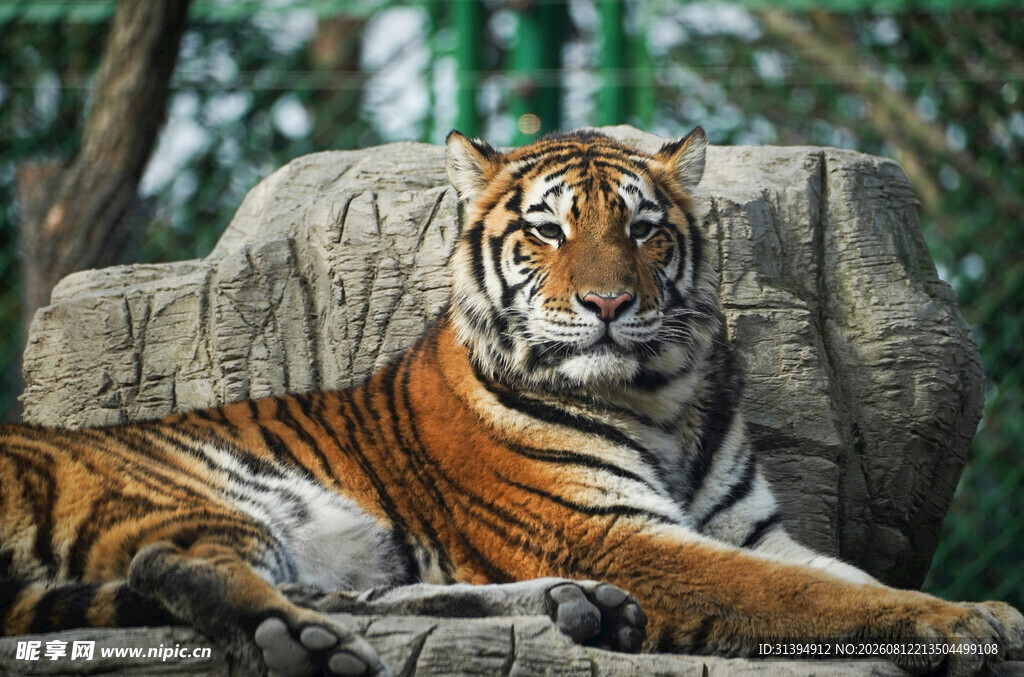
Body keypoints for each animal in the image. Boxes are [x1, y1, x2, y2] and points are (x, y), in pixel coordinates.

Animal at [2, 127, 1022, 677]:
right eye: (547, 230)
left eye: (643, 230)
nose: (608, 304)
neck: (660, 399)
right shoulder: (610, 531)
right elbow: (801, 592)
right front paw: (955, 623)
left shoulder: (748, 528)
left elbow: (843, 576)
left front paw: (990, 612)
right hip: (196, 485)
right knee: (172, 565)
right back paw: (304, 640)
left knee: (348, 589)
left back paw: (582, 610)